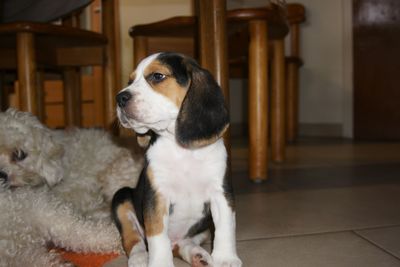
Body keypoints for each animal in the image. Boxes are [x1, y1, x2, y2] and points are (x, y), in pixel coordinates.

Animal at [112, 52, 242, 267]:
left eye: (157, 76)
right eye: (130, 81)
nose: (119, 97)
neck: (181, 150)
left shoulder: (221, 192)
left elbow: (225, 228)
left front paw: (226, 259)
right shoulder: (157, 196)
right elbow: (158, 237)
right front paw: (159, 263)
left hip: (202, 230)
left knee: (181, 244)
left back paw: (198, 255)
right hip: (121, 197)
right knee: (133, 238)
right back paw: (140, 258)